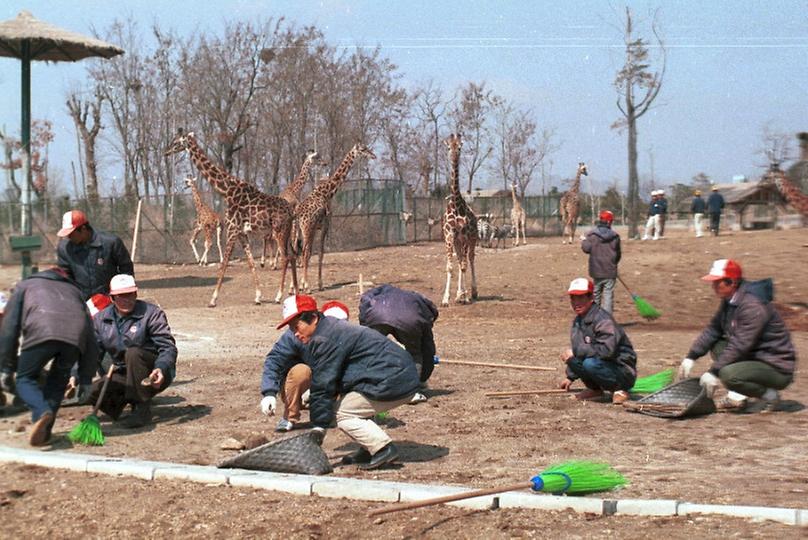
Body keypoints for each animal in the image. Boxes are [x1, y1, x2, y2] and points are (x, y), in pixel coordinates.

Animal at [164, 131, 300, 306]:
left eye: (176, 142)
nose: (166, 152)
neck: (226, 190)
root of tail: (291, 211)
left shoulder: (232, 229)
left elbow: (224, 262)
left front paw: (213, 298)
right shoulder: (242, 233)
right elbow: (251, 263)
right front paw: (258, 296)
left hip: (279, 231)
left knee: (285, 257)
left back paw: (279, 295)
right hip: (287, 232)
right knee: (293, 255)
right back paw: (296, 292)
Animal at [296, 142, 378, 292]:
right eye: (363, 149)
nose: (373, 155)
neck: (327, 192)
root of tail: (298, 214)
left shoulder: (318, 228)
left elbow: (317, 253)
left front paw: (307, 284)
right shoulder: (324, 226)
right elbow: (320, 253)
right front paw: (319, 284)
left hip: (298, 231)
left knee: (296, 252)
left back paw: (295, 287)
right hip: (307, 229)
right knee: (304, 252)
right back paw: (307, 287)